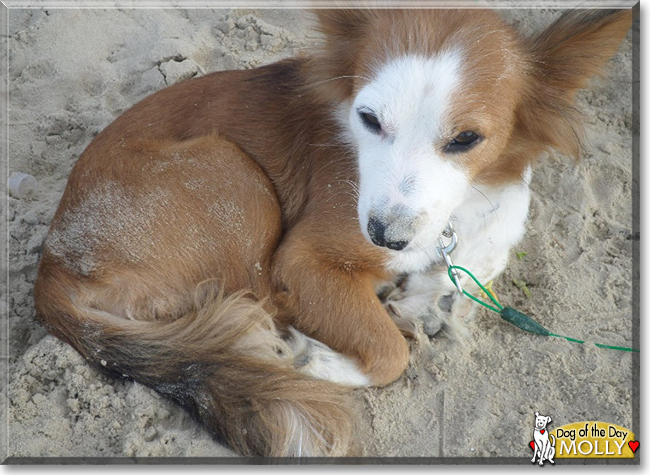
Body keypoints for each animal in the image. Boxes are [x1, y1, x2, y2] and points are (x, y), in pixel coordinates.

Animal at [33, 8, 632, 458]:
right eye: (368, 119)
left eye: (466, 139)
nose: (384, 237)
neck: (453, 214)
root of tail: (50, 270)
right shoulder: (305, 260)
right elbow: (389, 353)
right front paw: (331, 356)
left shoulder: (492, 221)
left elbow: (480, 260)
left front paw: (430, 297)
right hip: (235, 179)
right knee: (252, 312)